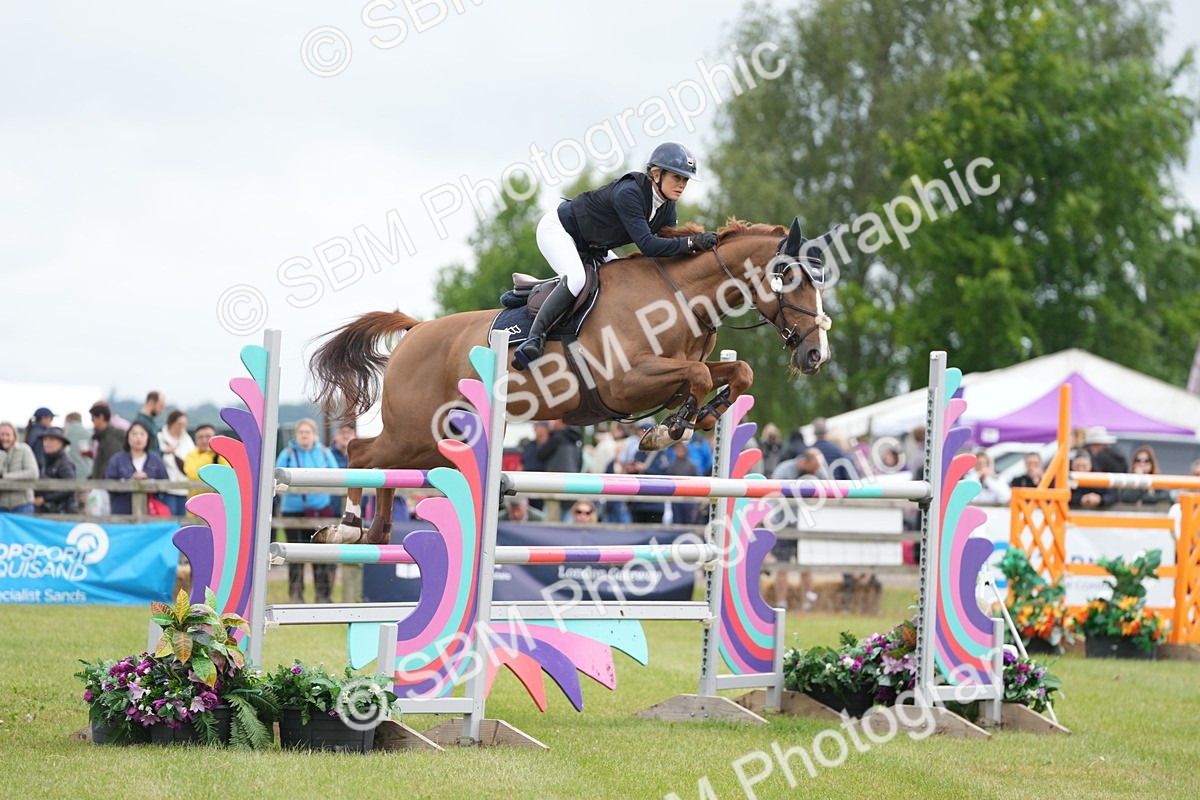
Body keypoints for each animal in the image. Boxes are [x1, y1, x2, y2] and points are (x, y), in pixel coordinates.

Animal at [308, 217, 838, 544]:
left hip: (434, 441)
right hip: (416, 429)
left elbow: (732, 372)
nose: (816, 355)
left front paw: (700, 417)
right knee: (362, 453)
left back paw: (378, 531)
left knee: (386, 468)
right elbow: (699, 374)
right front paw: (669, 429)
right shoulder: (625, 382)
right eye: (791, 277)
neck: (681, 297)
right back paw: (346, 528)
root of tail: (416, 330)